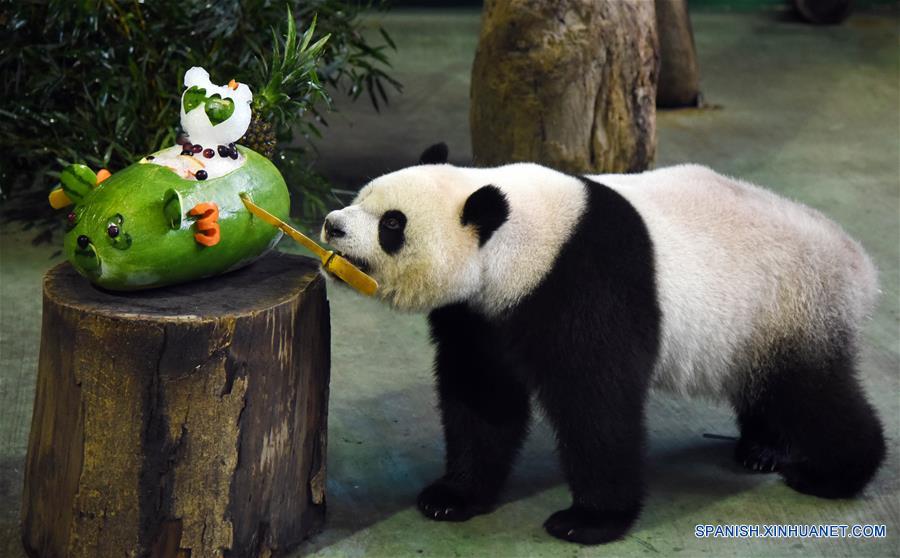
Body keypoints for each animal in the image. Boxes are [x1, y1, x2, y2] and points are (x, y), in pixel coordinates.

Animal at [318, 145, 884, 548]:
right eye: (361, 196)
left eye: (392, 223)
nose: (331, 224)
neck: (522, 237)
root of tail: (858, 261)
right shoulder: (480, 313)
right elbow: (482, 397)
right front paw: (452, 496)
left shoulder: (586, 284)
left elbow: (596, 403)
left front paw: (587, 521)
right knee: (767, 388)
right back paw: (763, 449)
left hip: (791, 306)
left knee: (810, 394)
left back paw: (832, 473)